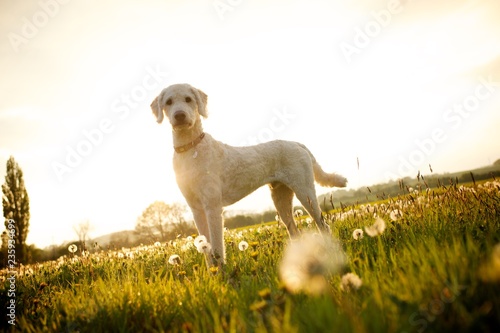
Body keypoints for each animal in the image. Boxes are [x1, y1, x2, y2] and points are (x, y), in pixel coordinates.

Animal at [151, 84, 348, 266]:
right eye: (168, 102)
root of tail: (297, 144)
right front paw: (212, 272)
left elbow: (217, 246)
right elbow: (205, 246)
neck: (191, 148)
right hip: (281, 198)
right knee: (294, 231)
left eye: (188, 99)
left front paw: (221, 272)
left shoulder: (213, 207)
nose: (179, 116)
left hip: (305, 191)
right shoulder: (196, 209)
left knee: (323, 225)